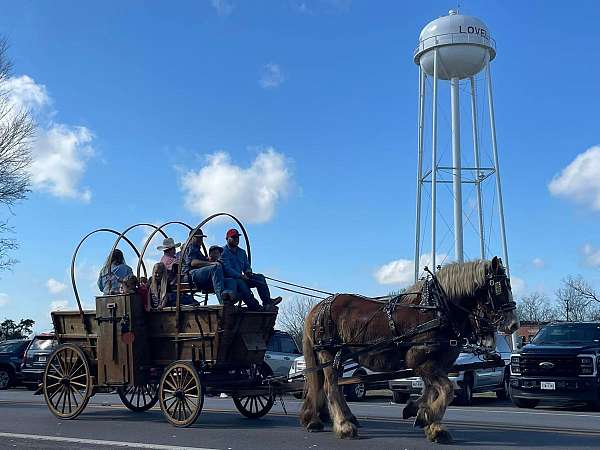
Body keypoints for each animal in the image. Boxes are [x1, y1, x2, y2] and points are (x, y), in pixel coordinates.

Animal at [300, 256, 520, 442]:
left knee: (328, 386)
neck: (437, 310)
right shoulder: (420, 361)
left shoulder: (437, 364)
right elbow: (447, 389)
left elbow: (431, 390)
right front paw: (430, 419)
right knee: (330, 387)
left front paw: (423, 416)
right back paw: (344, 426)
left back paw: (322, 419)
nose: (514, 324)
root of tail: (318, 307)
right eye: (499, 288)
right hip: (328, 352)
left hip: (339, 355)